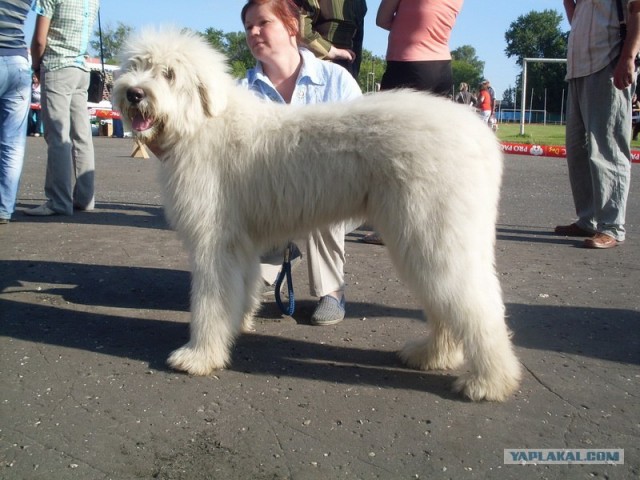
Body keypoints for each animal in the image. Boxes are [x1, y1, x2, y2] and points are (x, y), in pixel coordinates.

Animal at [111, 30, 520, 404]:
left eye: (168, 74)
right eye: (135, 66)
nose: (133, 94)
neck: (203, 122)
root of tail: (482, 137)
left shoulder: (214, 242)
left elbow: (210, 301)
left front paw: (198, 357)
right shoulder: (239, 242)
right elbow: (238, 290)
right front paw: (237, 325)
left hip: (432, 232)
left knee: (477, 304)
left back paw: (489, 382)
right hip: (423, 240)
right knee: (446, 302)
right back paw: (430, 355)